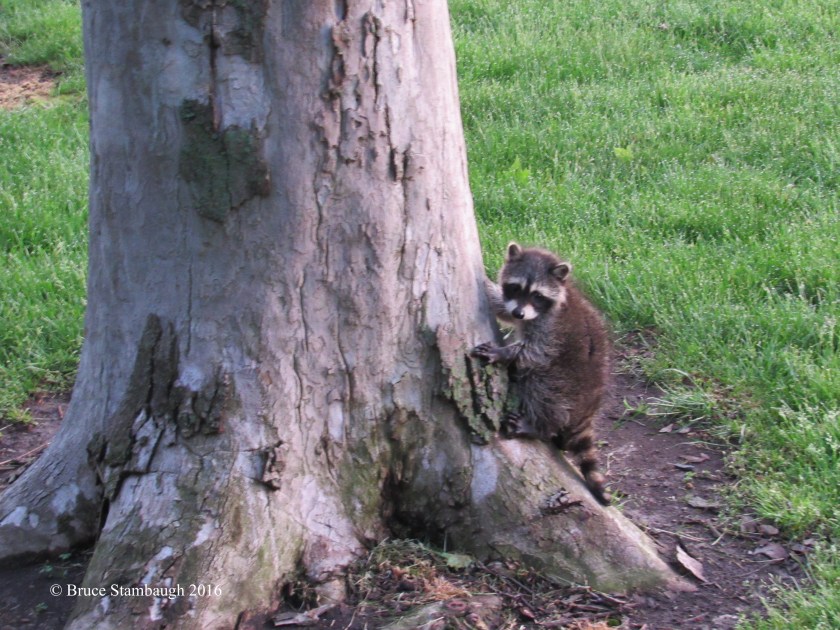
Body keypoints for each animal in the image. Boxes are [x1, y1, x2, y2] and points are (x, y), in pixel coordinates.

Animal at [472, 242, 612, 505]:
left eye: (537, 295)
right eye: (515, 288)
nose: (519, 314)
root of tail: (588, 410)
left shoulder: (550, 329)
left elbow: (535, 353)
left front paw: (503, 353)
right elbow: (502, 308)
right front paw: (489, 286)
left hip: (567, 383)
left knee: (542, 385)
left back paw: (541, 427)